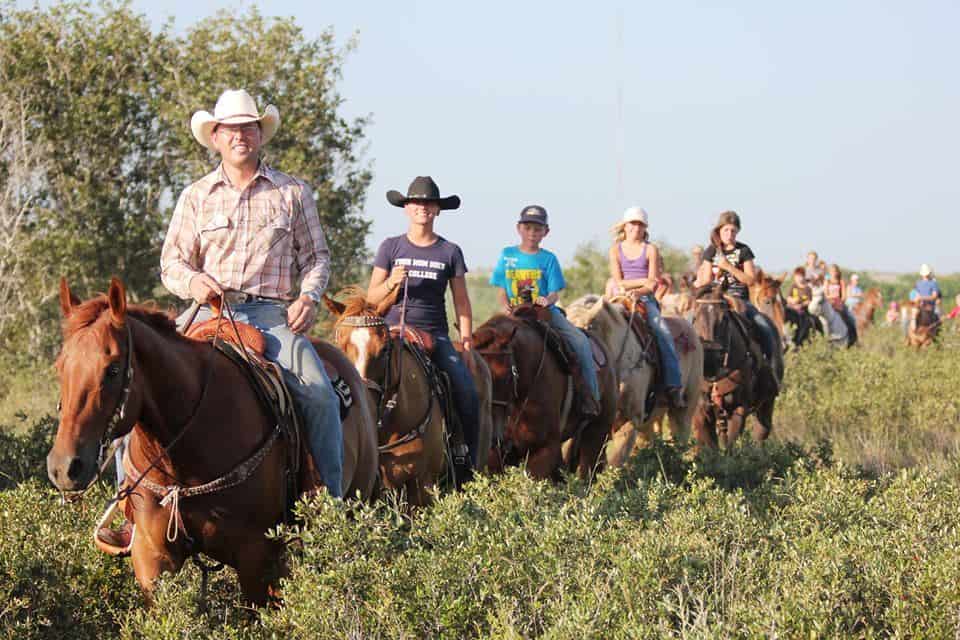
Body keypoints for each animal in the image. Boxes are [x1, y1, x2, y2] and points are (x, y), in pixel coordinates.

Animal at [688, 284, 780, 450]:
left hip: (766, 405)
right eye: (695, 318)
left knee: (761, 433)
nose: (709, 360)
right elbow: (709, 447)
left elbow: (729, 447)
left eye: (724, 318)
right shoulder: (700, 411)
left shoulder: (739, 409)